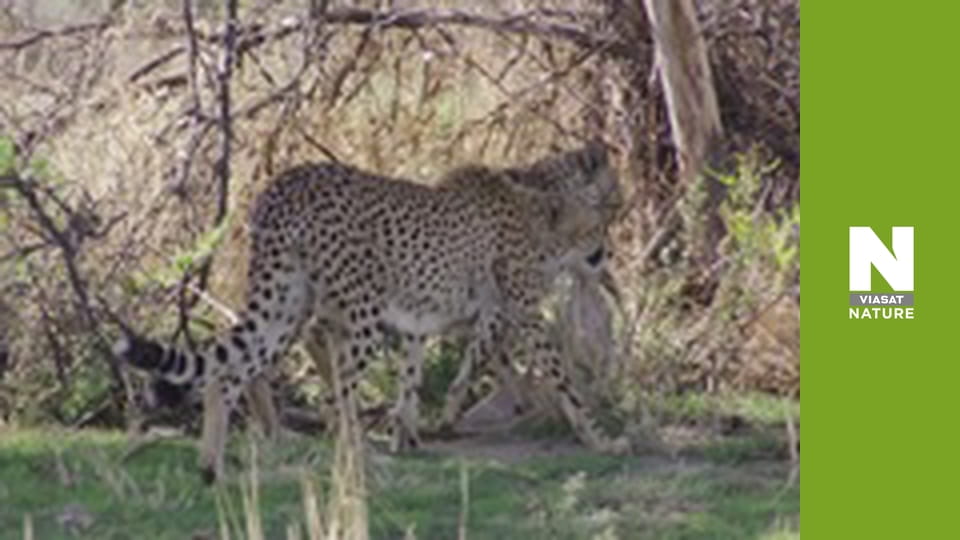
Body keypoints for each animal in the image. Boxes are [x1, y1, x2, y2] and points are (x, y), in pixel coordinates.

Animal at [114, 140, 629, 483]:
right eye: (608, 212)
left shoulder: (424, 317)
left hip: (286, 306)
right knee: (334, 393)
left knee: (229, 373)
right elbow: (556, 375)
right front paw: (599, 438)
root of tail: (284, 183)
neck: (541, 207)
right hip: (354, 314)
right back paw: (359, 457)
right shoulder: (516, 312)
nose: (607, 252)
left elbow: (418, 377)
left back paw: (212, 468)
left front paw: (413, 434)